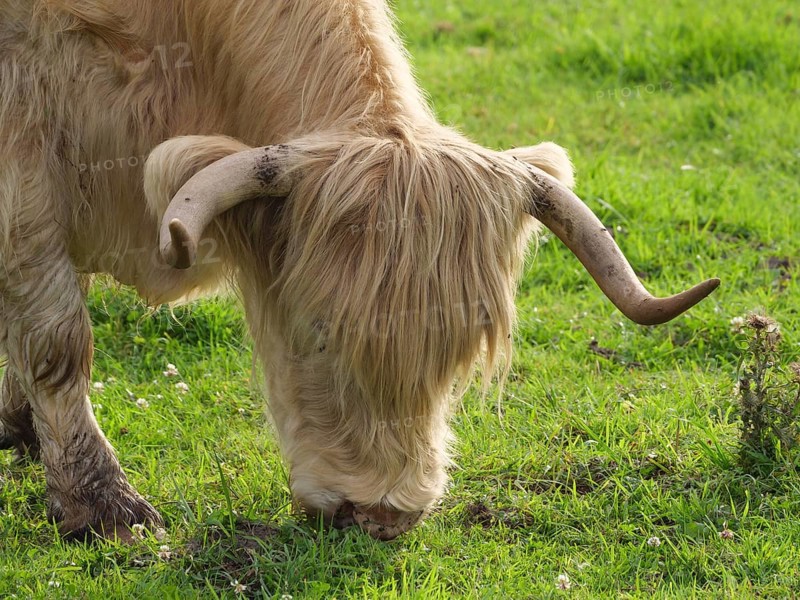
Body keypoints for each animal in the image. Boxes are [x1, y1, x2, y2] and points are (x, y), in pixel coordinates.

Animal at [0, 0, 719, 541]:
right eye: (318, 333)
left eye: (461, 353)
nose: (381, 514)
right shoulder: (24, 167)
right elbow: (58, 337)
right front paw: (102, 504)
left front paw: (22, 427)